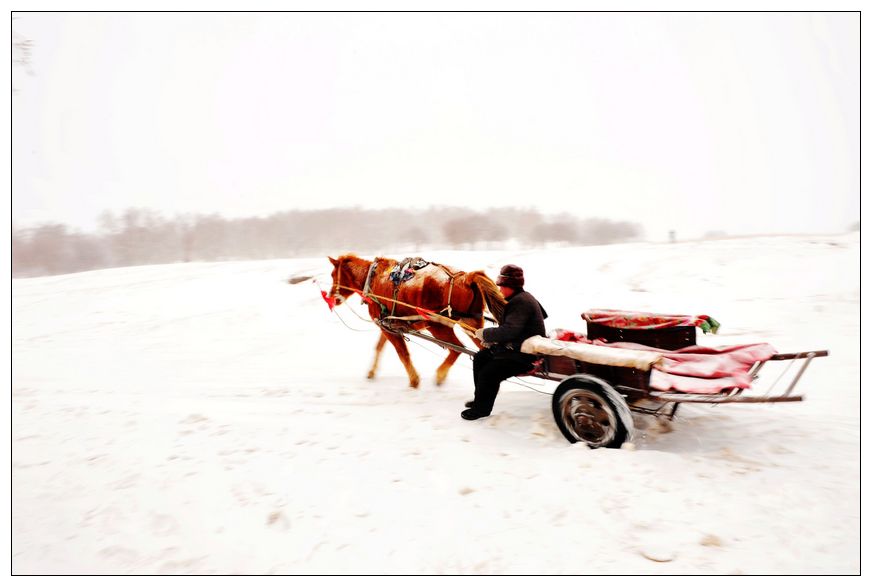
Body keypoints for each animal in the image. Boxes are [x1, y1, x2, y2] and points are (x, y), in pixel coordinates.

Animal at [326, 254, 504, 388]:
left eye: (333, 275)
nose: (331, 297)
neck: (373, 279)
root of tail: (466, 278)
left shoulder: (388, 328)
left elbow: (402, 353)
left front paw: (414, 380)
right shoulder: (388, 324)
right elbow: (379, 347)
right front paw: (371, 371)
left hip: (438, 326)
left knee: (457, 349)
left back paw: (440, 375)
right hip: (472, 323)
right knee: (483, 348)